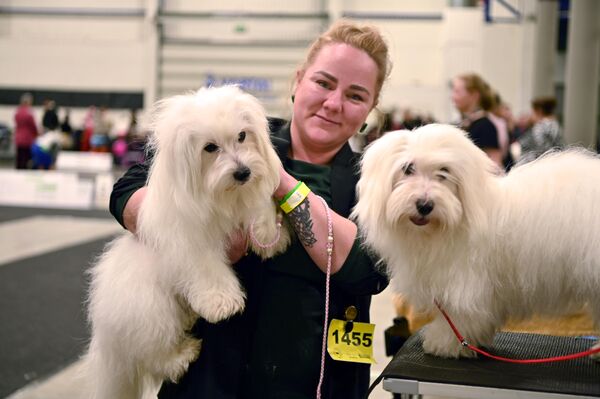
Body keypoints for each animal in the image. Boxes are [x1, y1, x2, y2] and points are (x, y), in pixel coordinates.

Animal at [85, 86, 290, 398]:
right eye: (210, 148)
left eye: (242, 135)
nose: (243, 172)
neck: (222, 196)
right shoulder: (190, 243)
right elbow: (209, 270)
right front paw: (223, 303)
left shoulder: (247, 197)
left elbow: (259, 206)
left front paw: (270, 234)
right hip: (152, 311)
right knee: (156, 353)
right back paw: (183, 354)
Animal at [354, 124, 596, 360]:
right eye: (407, 168)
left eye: (444, 172)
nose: (425, 205)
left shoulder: (465, 286)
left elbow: (459, 319)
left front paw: (443, 344)